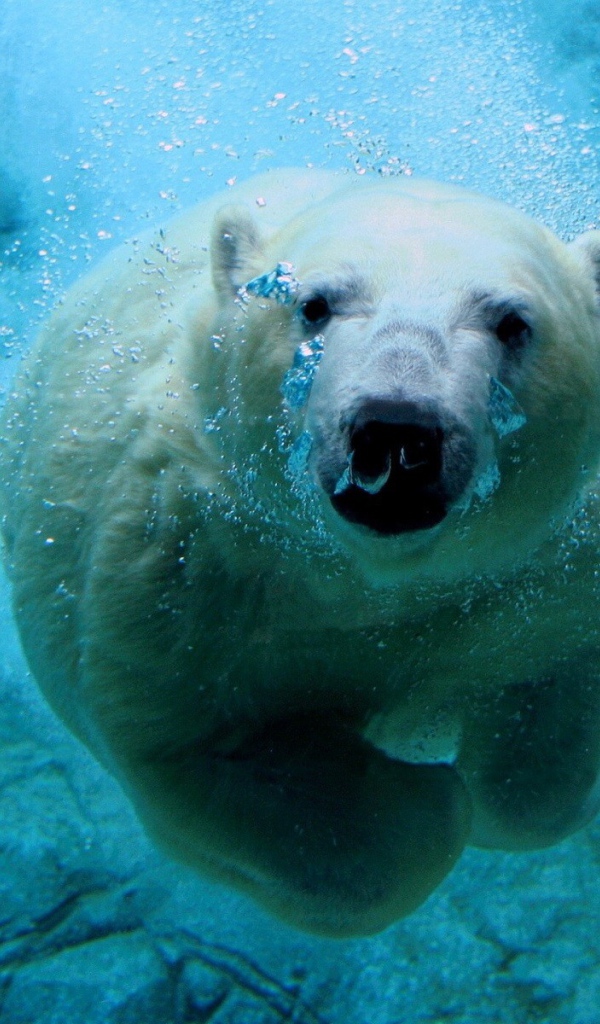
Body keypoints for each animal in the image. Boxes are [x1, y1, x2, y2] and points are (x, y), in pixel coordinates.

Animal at [2, 168, 600, 938]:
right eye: (313, 304)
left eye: (512, 322)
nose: (397, 430)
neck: (370, 577)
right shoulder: (180, 571)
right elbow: (193, 750)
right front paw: (426, 797)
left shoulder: (544, 568)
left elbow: (543, 743)